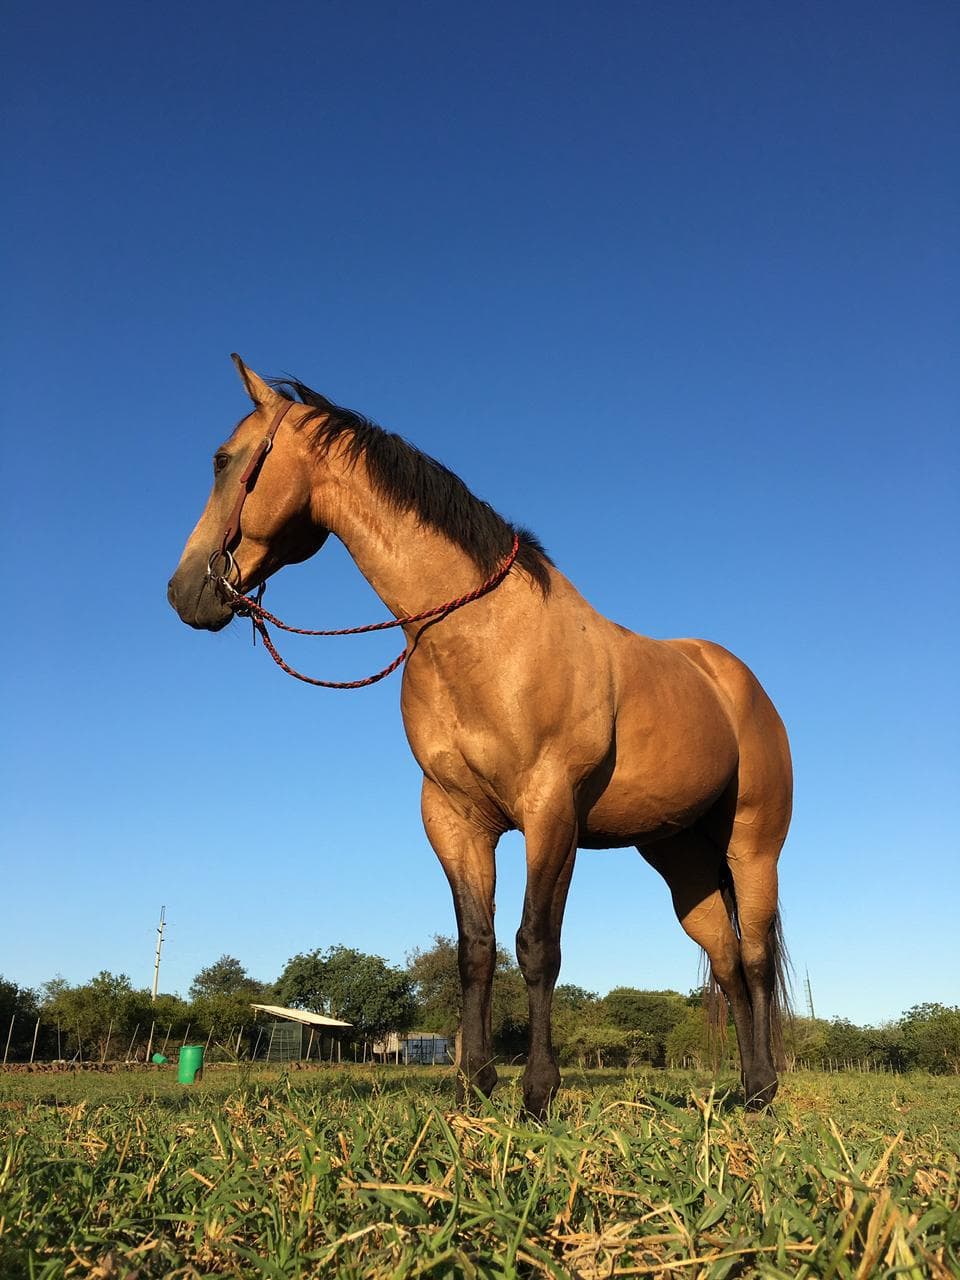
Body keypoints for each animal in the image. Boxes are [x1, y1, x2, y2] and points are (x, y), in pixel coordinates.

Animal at [168, 356, 793, 1115]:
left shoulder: (550, 812)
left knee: (754, 958)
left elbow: (536, 945)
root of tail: (738, 683)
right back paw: (748, 1090)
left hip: (751, 848)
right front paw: (473, 1084)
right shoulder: (455, 818)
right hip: (682, 859)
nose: (185, 591)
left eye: (223, 459)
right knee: (727, 962)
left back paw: (764, 1090)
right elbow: (476, 948)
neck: (480, 637)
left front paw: (537, 1093)